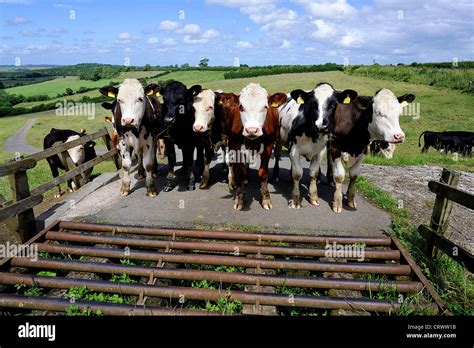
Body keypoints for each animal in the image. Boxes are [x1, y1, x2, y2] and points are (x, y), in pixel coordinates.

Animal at [217, 83, 286, 211]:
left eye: (265, 107)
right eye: (241, 107)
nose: (252, 130)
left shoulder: (268, 147)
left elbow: (263, 173)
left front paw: (266, 198)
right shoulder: (236, 146)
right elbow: (241, 171)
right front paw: (239, 199)